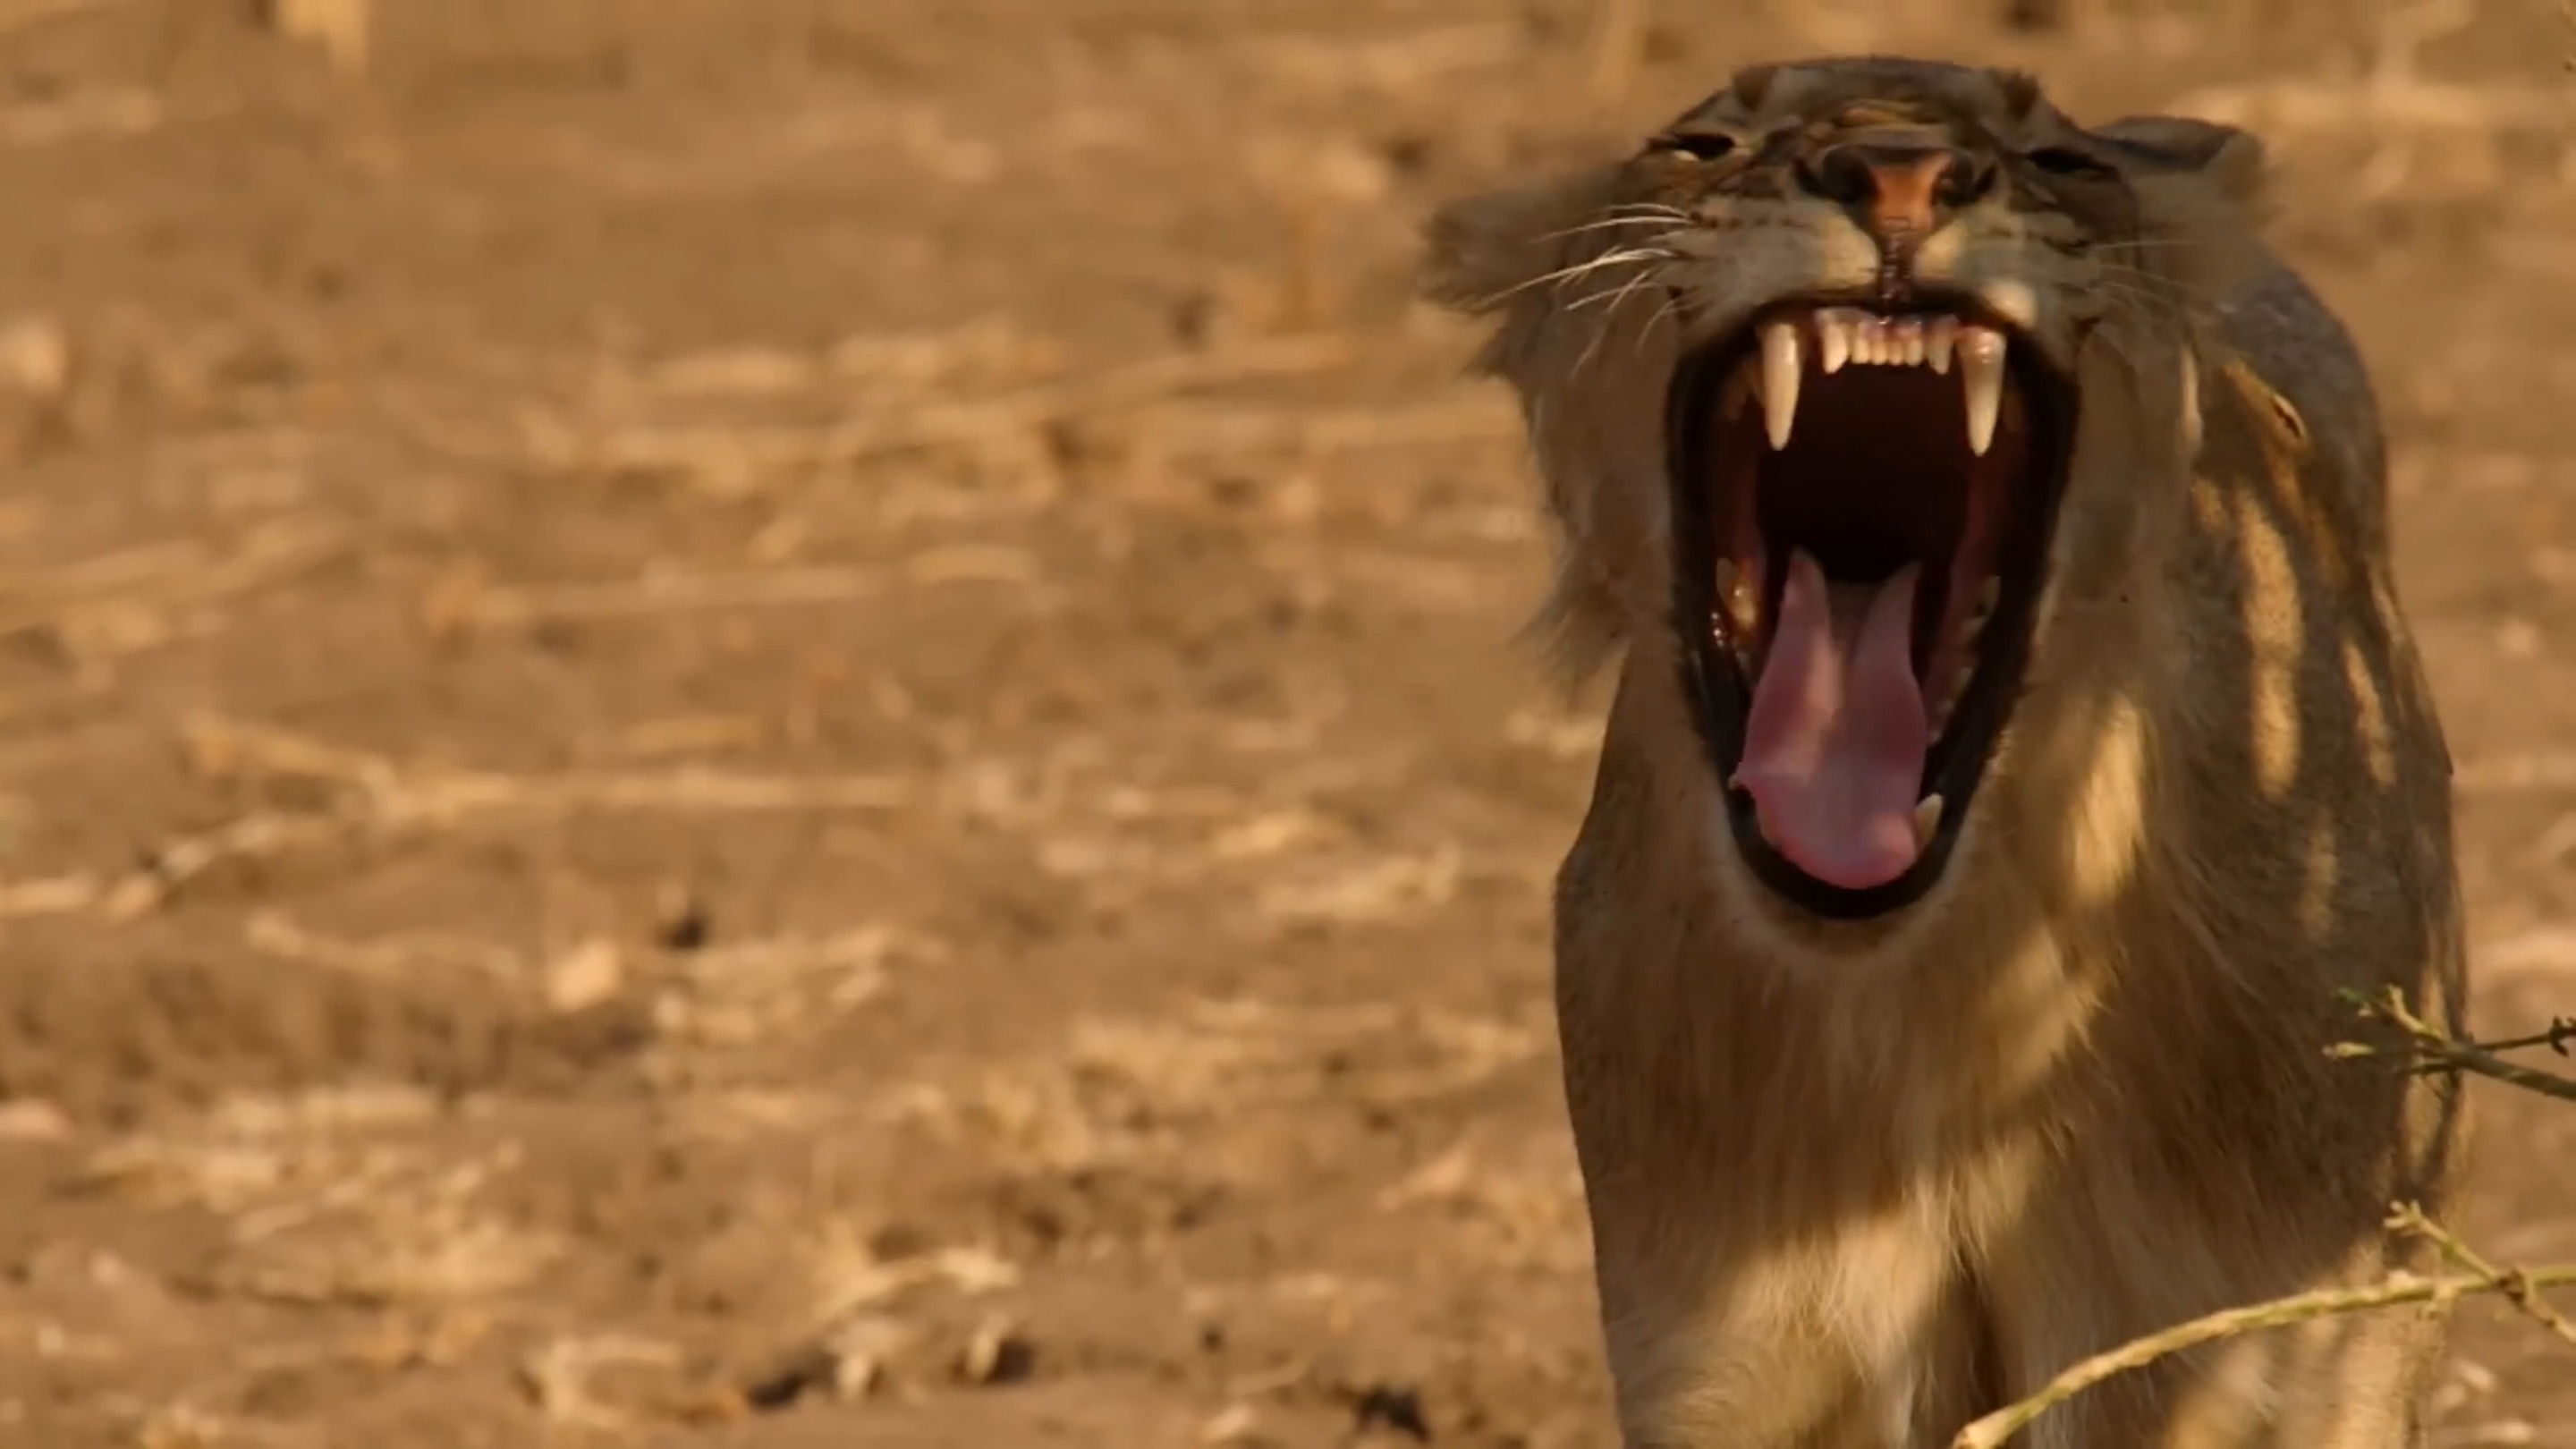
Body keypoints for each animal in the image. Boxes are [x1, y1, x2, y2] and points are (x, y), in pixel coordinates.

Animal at [1422, 58, 2466, 1447]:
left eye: (2064, 162)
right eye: (1703, 144)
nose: (1899, 175)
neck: (1957, 1000)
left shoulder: (2284, 1355)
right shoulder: (1729, 1368)